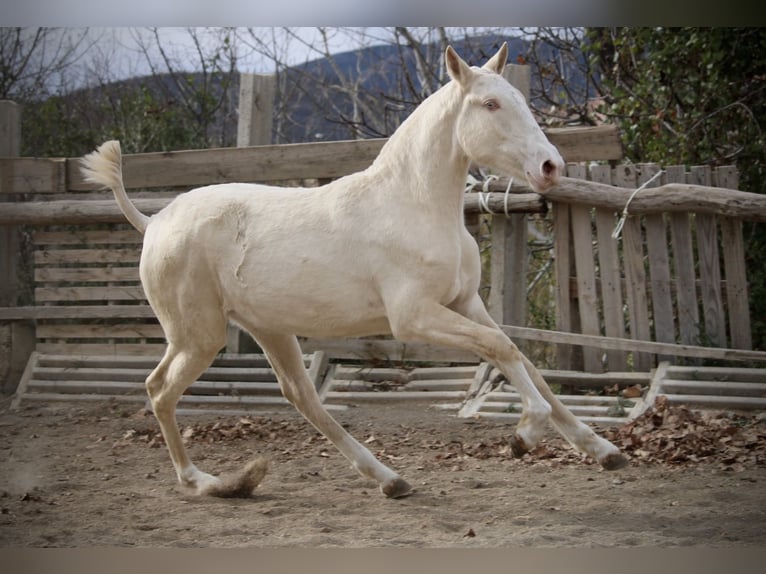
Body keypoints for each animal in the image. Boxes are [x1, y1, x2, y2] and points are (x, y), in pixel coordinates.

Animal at [81, 44, 632, 500]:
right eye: (491, 105)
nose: (551, 167)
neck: (414, 205)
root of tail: (154, 222)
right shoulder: (414, 317)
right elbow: (502, 349)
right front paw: (524, 435)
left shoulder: (465, 303)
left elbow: (523, 360)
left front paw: (604, 451)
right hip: (200, 335)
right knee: (159, 390)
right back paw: (202, 482)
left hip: (267, 328)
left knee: (300, 397)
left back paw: (388, 479)